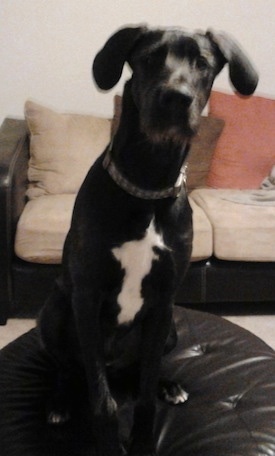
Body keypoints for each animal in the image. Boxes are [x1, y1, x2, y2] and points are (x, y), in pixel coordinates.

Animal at [38, 25, 258, 456]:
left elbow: (143, 394)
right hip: (53, 313)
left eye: (202, 63)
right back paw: (59, 402)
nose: (176, 97)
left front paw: (142, 439)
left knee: (141, 371)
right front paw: (109, 443)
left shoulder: (163, 300)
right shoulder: (87, 296)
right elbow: (103, 402)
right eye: (149, 58)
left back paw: (169, 386)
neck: (148, 185)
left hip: (170, 325)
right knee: (68, 368)